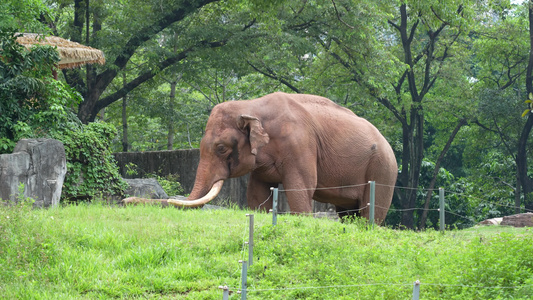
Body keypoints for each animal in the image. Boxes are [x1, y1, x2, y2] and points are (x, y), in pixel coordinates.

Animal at [124, 92, 396, 224]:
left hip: (383, 170)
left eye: (221, 148)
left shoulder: (300, 144)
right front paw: (259, 215)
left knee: (371, 210)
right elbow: (256, 191)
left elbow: (301, 187)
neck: (251, 105)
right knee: (347, 212)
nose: (126, 200)